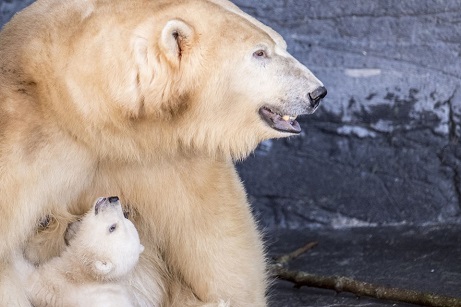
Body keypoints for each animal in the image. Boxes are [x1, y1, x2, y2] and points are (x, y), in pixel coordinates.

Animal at [0, 0, 326, 307]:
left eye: (280, 44)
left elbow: (216, 236)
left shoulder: (165, 151)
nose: (317, 93)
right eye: (259, 53)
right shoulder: (24, 143)